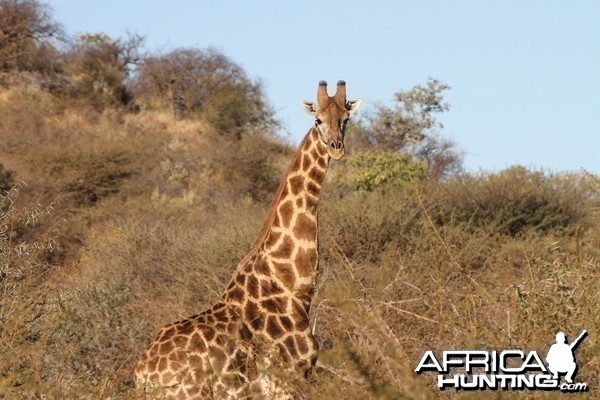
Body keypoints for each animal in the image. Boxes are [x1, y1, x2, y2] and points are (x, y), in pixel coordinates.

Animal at [135, 79, 360, 398]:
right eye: (317, 120)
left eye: (345, 119)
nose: (336, 148)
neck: (292, 285)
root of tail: (142, 375)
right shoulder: (286, 380)